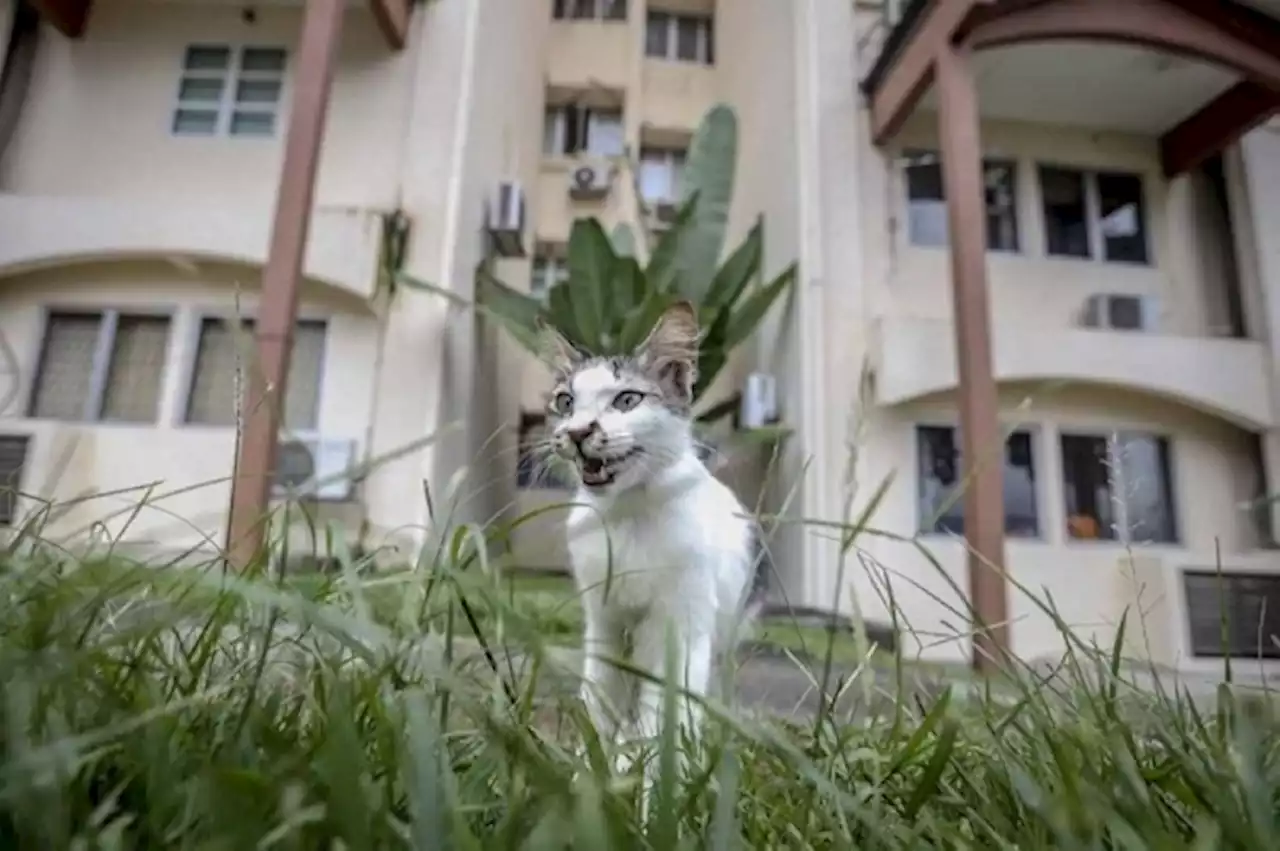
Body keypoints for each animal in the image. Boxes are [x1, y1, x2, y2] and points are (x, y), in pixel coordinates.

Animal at [535, 302, 752, 767]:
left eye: (627, 400)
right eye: (565, 402)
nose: (577, 432)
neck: (627, 515)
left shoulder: (684, 630)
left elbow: (667, 720)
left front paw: (662, 783)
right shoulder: (603, 626)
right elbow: (598, 709)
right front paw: (589, 772)